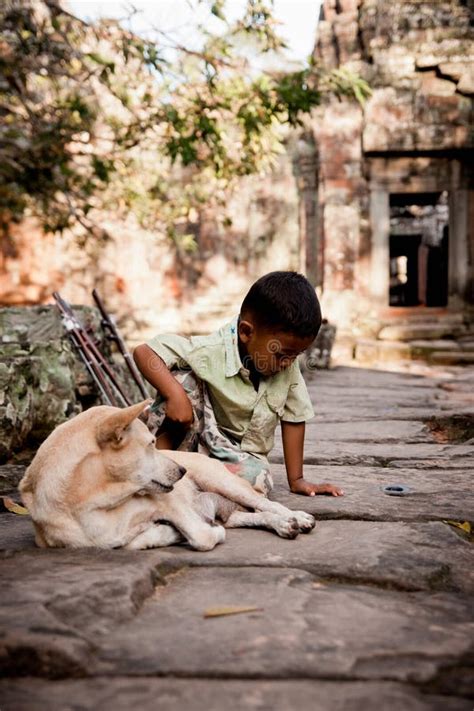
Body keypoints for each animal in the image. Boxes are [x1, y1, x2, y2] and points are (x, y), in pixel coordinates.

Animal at [19, 400, 314, 552]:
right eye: (151, 444)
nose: (182, 471)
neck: (98, 502)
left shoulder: (169, 503)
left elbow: (202, 537)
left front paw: (195, 532)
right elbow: (134, 542)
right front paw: (169, 533)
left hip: (224, 482)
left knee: (267, 504)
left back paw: (296, 518)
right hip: (226, 506)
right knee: (248, 516)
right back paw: (283, 525)